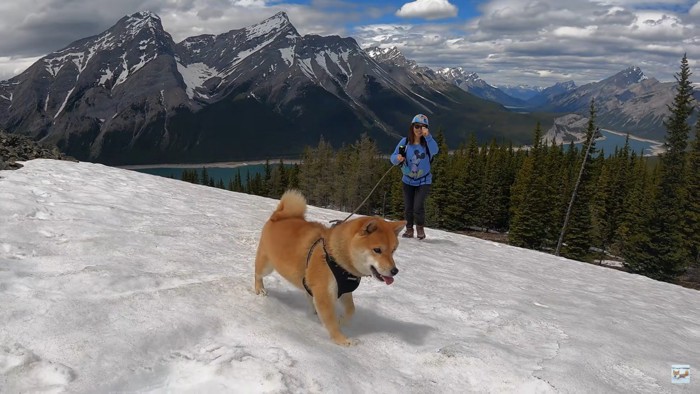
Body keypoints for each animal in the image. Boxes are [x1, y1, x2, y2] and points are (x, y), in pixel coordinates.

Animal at [253, 189, 404, 346]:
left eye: (393, 250)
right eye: (377, 250)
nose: (395, 271)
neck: (338, 260)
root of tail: (278, 216)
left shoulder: (343, 290)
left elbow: (351, 309)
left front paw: (341, 320)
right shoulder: (325, 294)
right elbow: (331, 322)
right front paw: (342, 340)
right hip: (267, 265)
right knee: (257, 274)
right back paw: (260, 289)